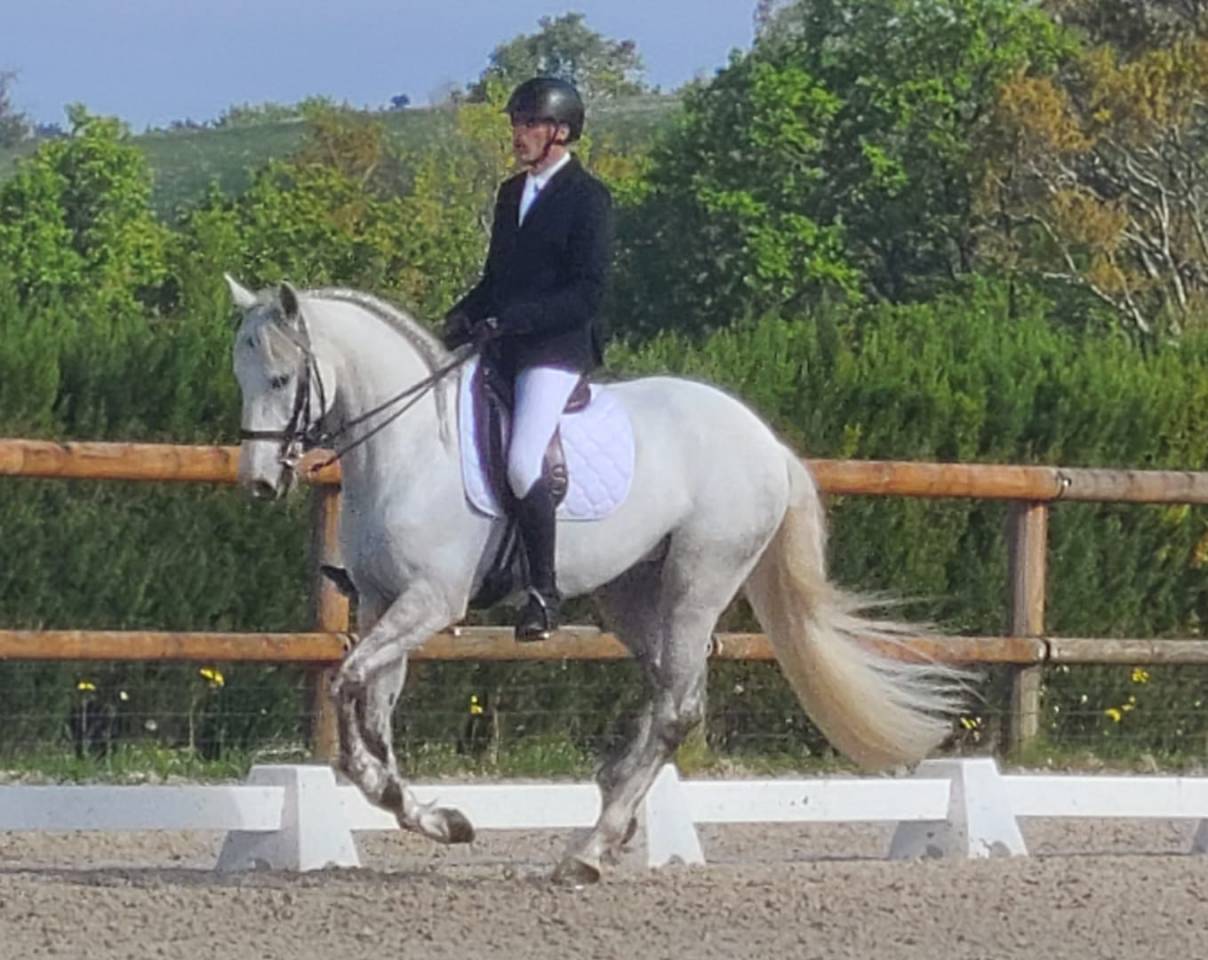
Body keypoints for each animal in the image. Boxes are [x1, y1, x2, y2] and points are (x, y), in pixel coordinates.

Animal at [226, 276, 967, 883]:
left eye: (281, 379)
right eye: (241, 375)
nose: (259, 483)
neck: (408, 448)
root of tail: (766, 441)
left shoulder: (431, 602)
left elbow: (346, 683)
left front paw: (410, 801)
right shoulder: (384, 602)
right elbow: (373, 707)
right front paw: (434, 817)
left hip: (700, 577)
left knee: (676, 706)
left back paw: (588, 849)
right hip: (630, 592)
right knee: (673, 690)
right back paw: (613, 821)